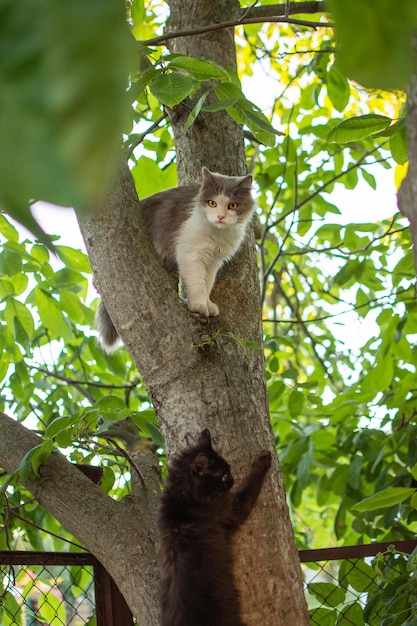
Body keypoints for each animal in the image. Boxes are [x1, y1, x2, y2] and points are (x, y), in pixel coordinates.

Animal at [96, 166, 254, 348]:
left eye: (233, 205)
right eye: (212, 203)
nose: (220, 217)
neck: (219, 234)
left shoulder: (213, 262)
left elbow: (207, 284)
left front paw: (208, 304)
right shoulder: (190, 254)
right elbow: (197, 285)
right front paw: (199, 305)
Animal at [156, 428, 270, 624]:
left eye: (229, 470)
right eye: (223, 476)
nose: (232, 479)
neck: (183, 501)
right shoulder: (233, 510)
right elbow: (250, 484)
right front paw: (262, 460)